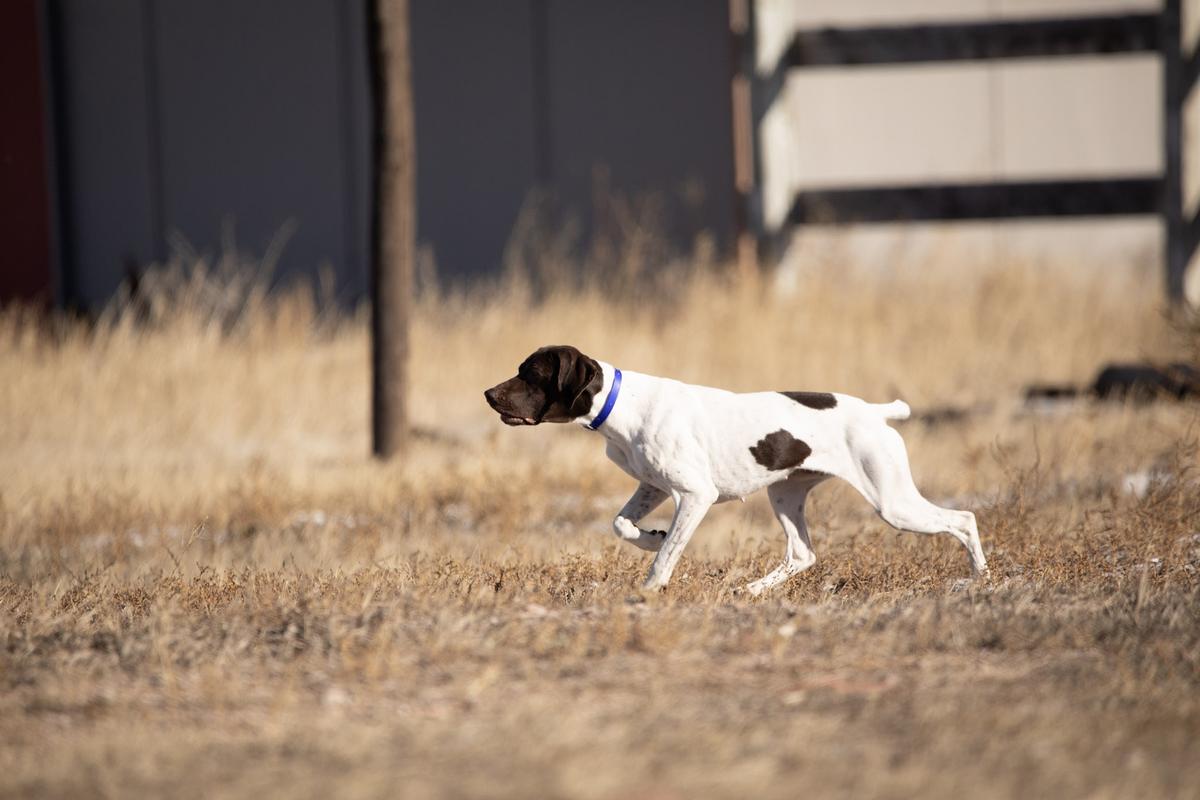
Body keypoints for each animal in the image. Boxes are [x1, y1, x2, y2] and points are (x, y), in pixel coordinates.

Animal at [482, 345, 988, 594]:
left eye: (530, 374)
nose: (488, 394)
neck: (620, 403)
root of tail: (875, 412)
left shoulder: (695, 494)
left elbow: (668, 556)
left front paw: (650, 587)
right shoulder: (654, 486)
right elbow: (621, 524)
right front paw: (651, 537)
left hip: (893, 502)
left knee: (963, 519)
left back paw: (979, 579)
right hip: (784, 496)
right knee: (802, 555)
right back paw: (753, 590)